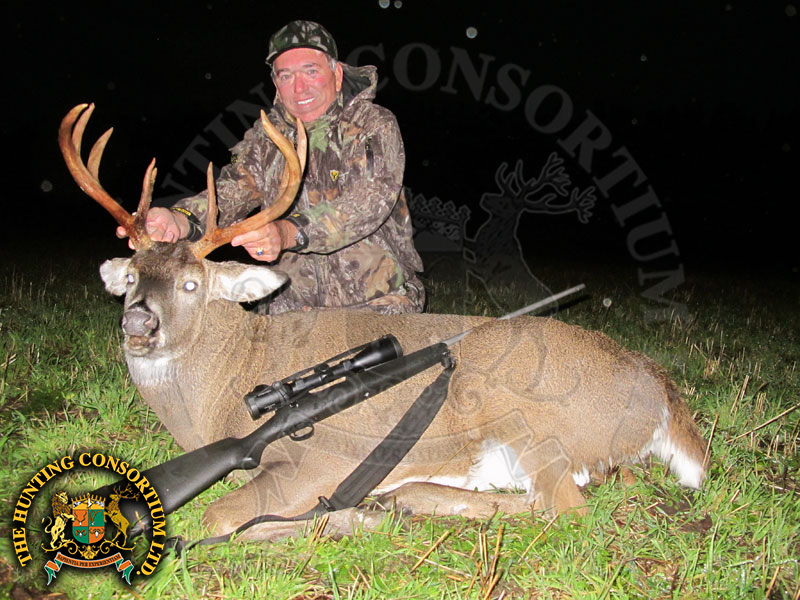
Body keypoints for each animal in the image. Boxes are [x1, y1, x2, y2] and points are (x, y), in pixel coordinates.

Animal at [59, 103, 708, 542]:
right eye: (131, 278)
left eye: (192, 285)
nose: (138, 325)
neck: (218, 397)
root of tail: (661, 390)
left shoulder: (322, 459)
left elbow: (219, 515)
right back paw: (399, 501)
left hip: (534, 423)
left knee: (564, 509)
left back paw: (384, 507)